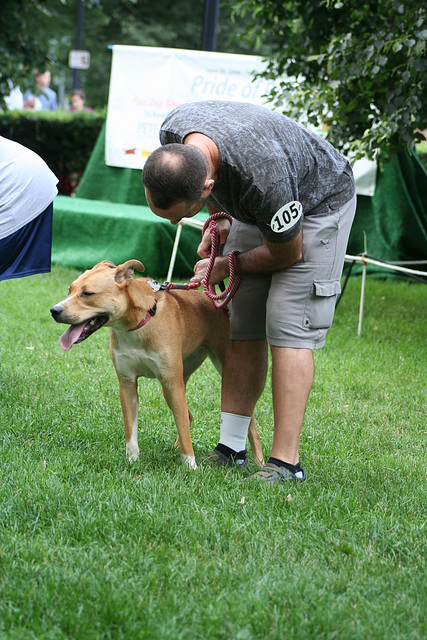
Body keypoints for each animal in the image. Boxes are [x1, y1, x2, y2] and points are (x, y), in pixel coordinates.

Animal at [51, 260, 264, 470]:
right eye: (70, 290)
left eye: (87, 293)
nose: (54, 311)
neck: (137, 324)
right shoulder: (128, 385)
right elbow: (131, 432)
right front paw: (132, 461)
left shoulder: (172, 383)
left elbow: (184, 431)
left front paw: (191, 467)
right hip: (175, 383)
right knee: (187, 416)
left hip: (217, 370)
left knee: (249, 423)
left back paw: (259, 460)